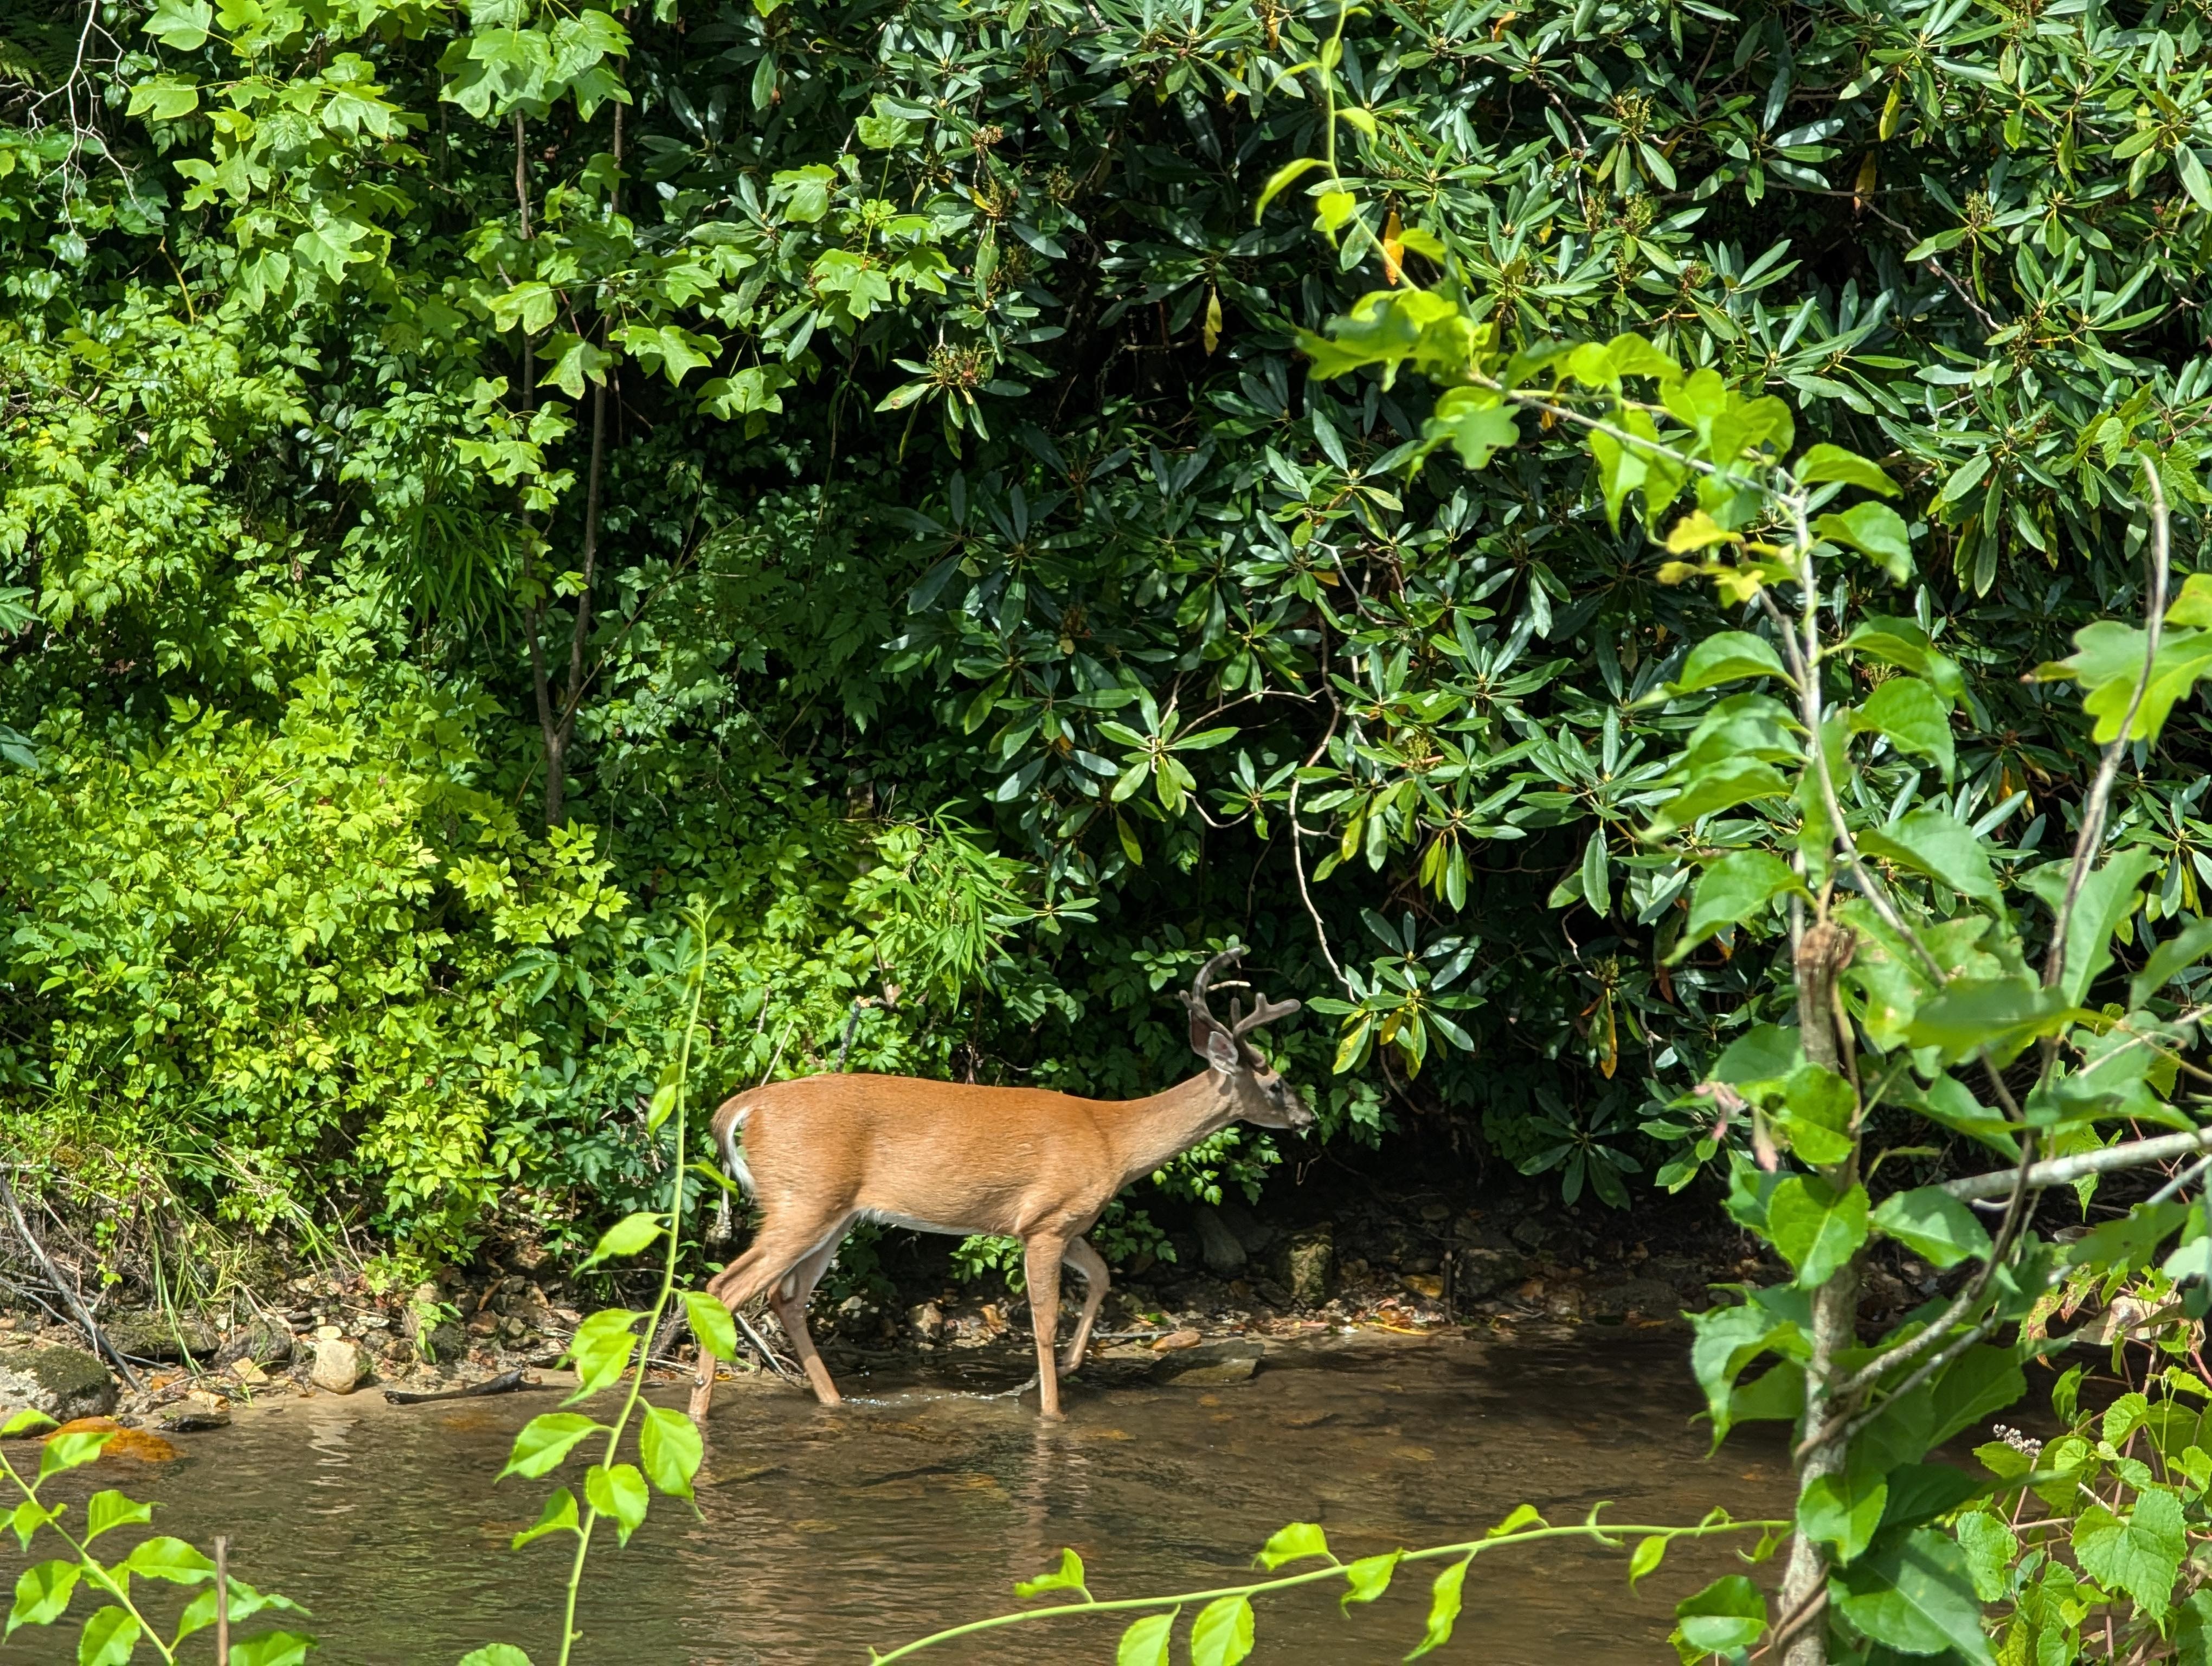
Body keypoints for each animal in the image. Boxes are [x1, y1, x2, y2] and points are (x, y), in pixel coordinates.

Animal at [686, 946, 1308, 1424]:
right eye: (1277, 1084)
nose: (1307, 1117)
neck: (1113, 1140)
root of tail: (748, 1106)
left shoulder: (1064, 1223)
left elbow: (1103, 1276)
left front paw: (1072, 1366)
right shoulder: (1046, 1222)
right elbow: (1042, 1322)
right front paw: (1052, 1410)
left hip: (835, 1215)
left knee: (785, 1298)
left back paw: (833, 1401)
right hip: (803, 1200)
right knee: (725, 1287)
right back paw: (698, 1411)